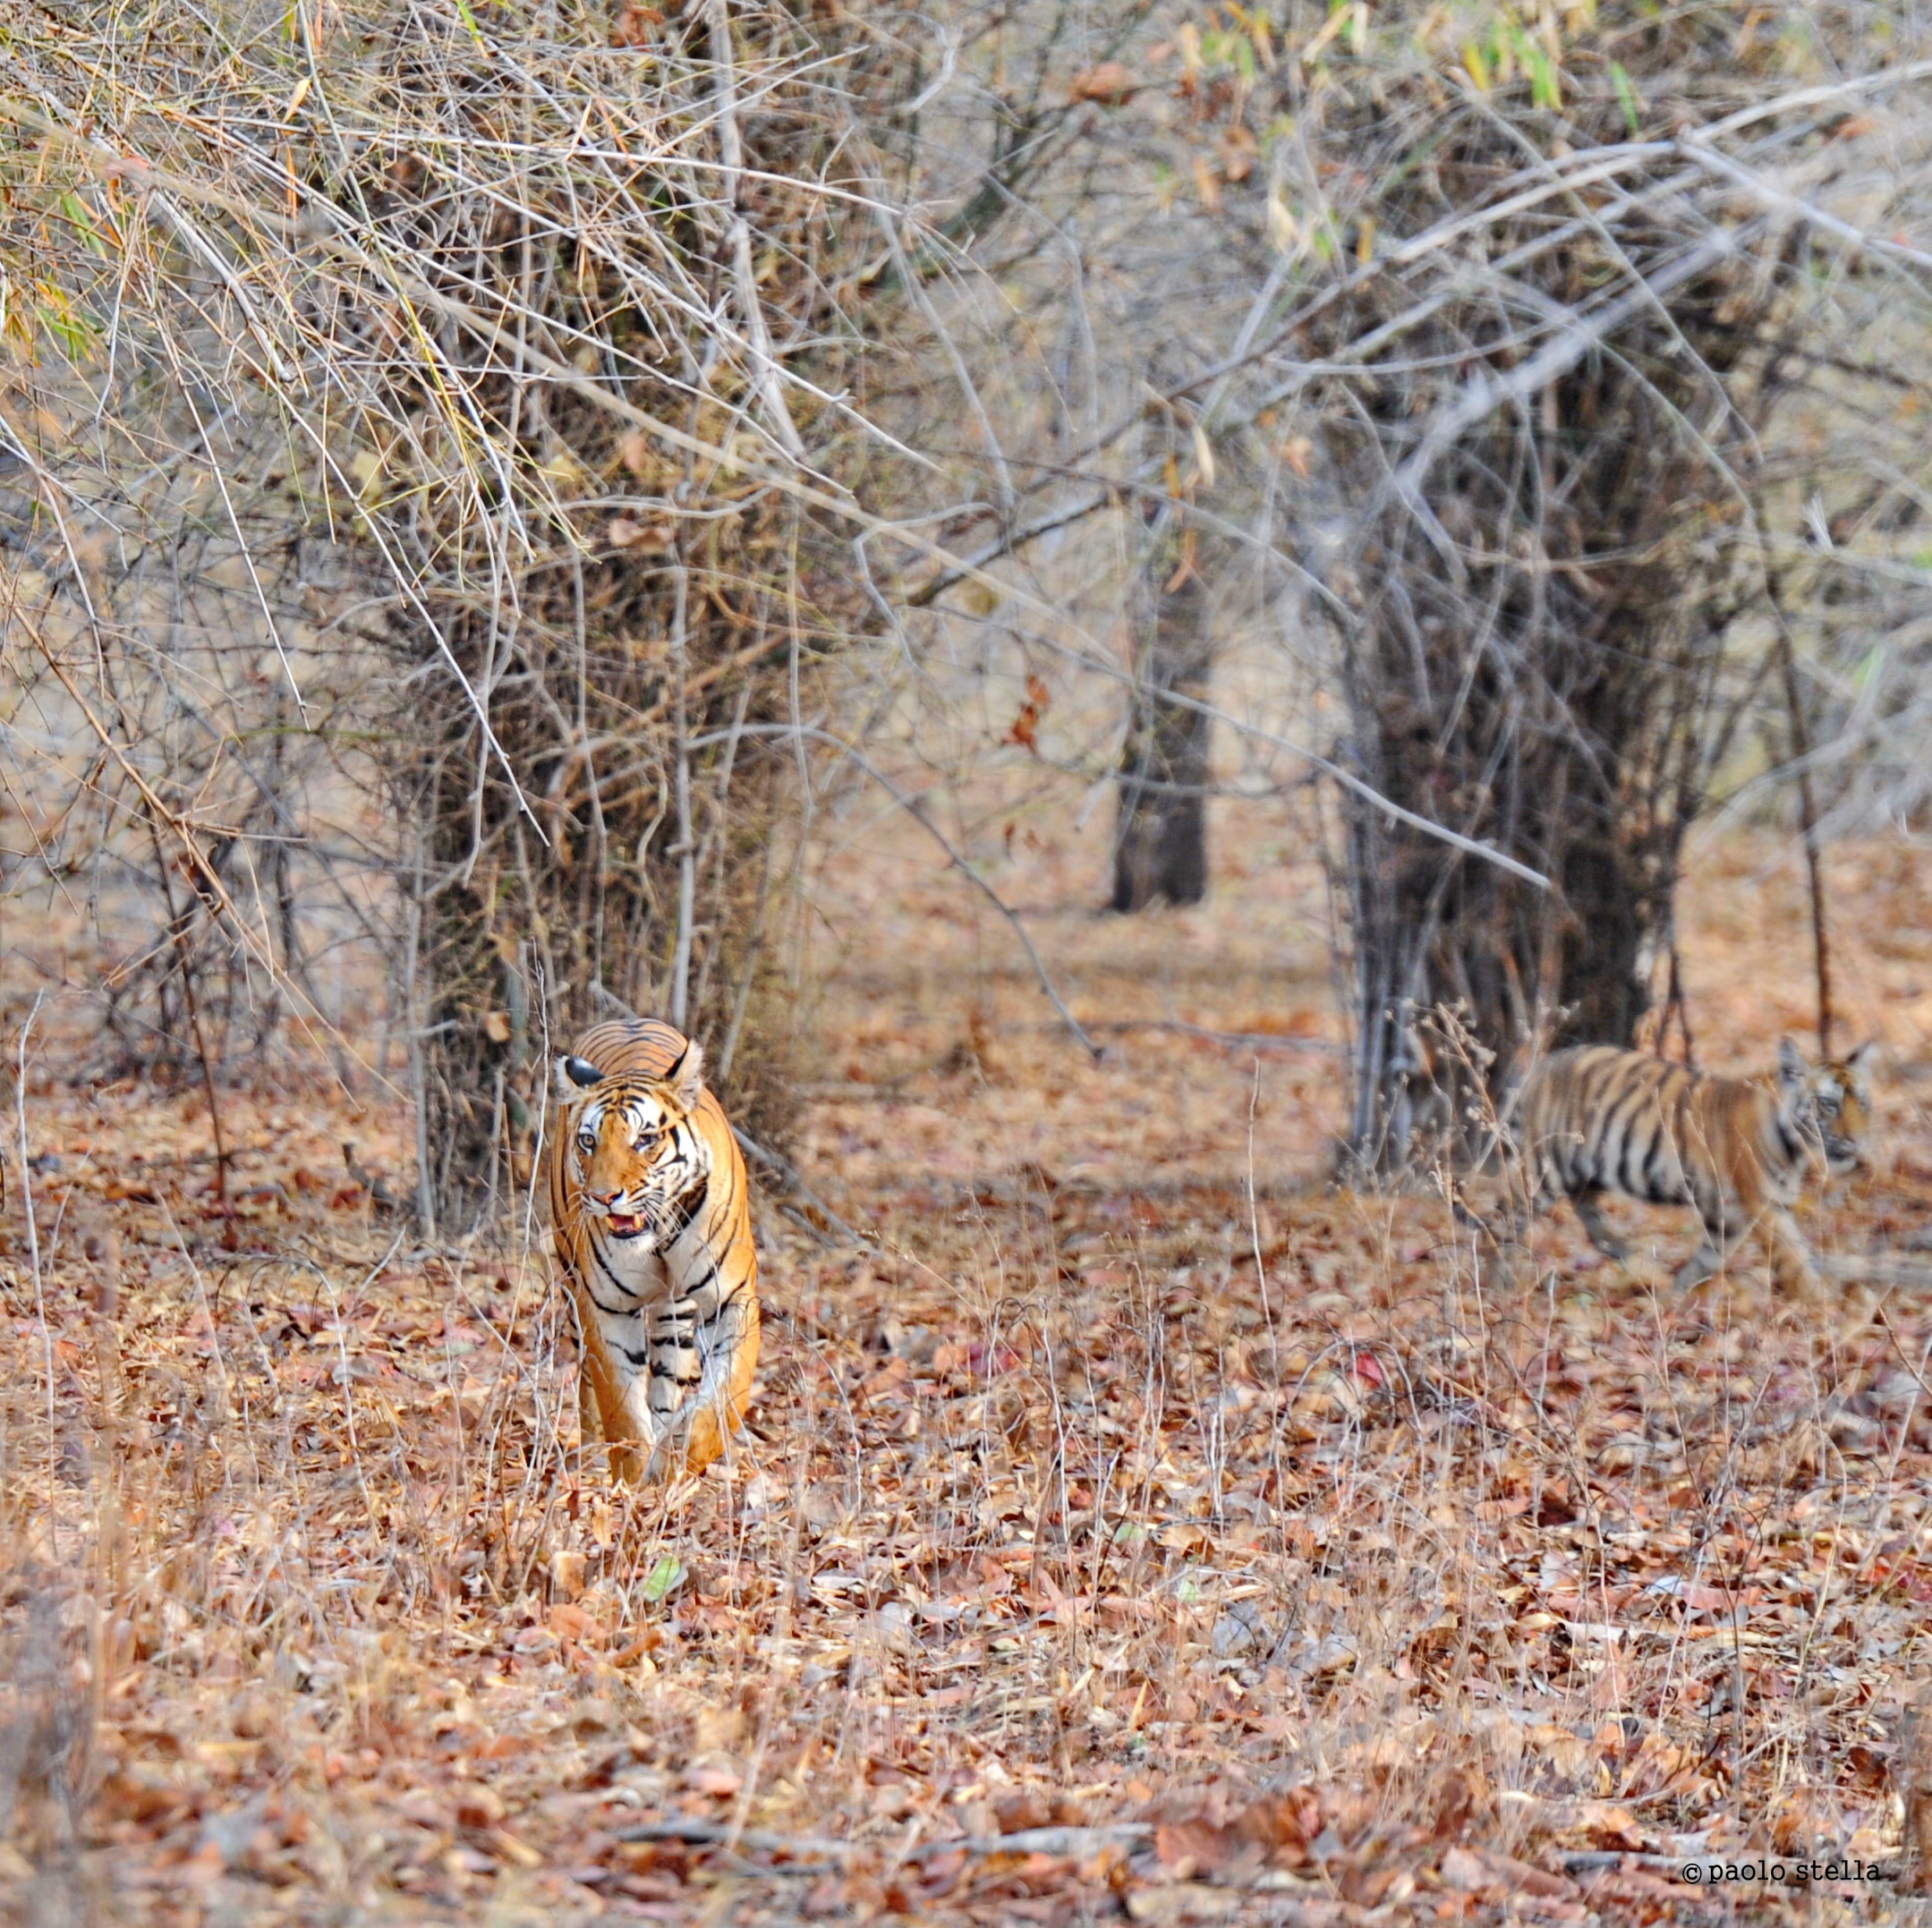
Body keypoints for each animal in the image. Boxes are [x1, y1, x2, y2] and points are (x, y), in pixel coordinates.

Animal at [547, 1016, 759, 1479]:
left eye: (644, 1140)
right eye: (588, 1142)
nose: (604, 1197)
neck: (657, 1240)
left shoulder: (734, 1299)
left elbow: (723, 1400)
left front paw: (674, 1463)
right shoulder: (605, 1310)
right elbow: (622, 1412)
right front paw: (632, 1482)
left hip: (673, 1310)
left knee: (669, 1374)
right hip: (571, 1283)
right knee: (588, 1386)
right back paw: (592, 1455)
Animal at [1510, 1038, 1876, 1297]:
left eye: (1862, 1103)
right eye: (1828, 1104)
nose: (1858, 1140)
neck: (1796, 1149)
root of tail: (1542, 1064)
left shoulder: (1733, 1215)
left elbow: (1709, 1258)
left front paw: (1673, 1298)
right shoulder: (1764, 1207)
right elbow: (1795, 1262)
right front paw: (1824, 1310)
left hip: (1587, 1169)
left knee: (1586, 1208)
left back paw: (1624, 1251)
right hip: (1544, 1167)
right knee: (1503, 1207)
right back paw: (1501, 1279)